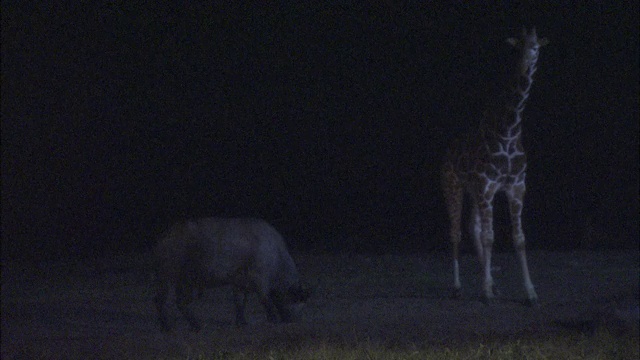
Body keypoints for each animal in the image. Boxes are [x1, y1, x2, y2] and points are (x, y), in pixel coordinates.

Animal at [442, 26, 548, 306]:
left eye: (535, 47)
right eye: (517, 47)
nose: (525, 65)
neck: (509, 131)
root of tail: (448, 149)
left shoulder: (516, 187)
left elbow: (518, 239)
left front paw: (530, 293)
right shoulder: (487, 186)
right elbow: (490, 237)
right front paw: (486, 292)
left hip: (473, 191)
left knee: (473, 229)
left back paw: (491, 282)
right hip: (453, 185)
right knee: (456, 232)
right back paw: (457, 287)